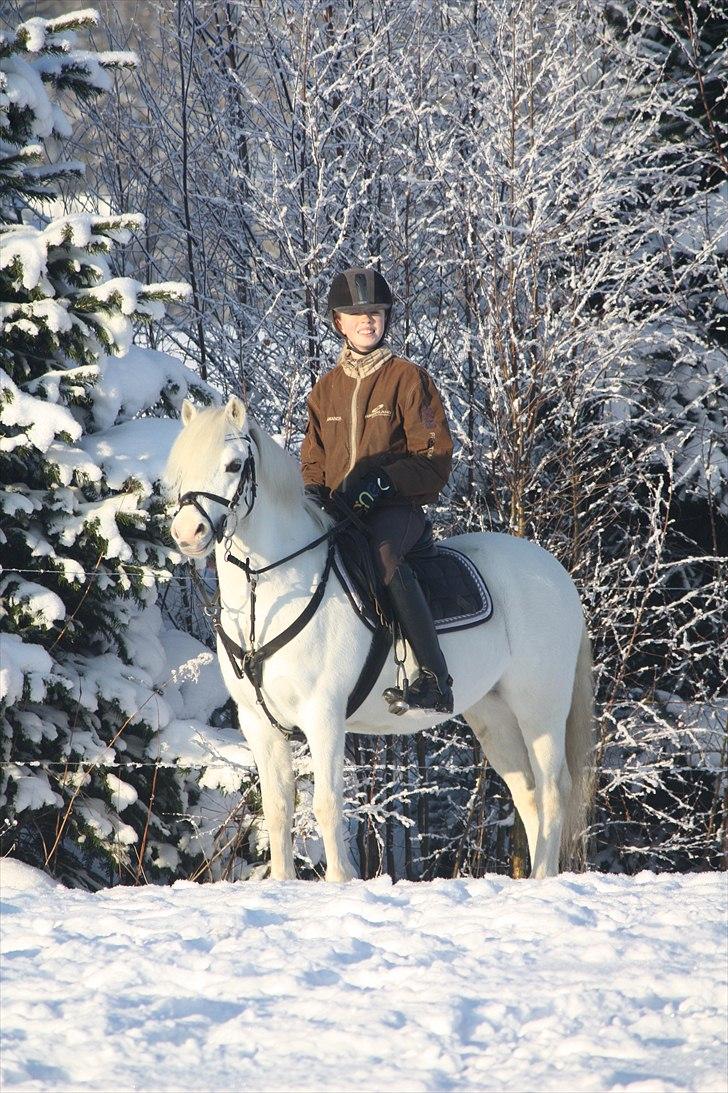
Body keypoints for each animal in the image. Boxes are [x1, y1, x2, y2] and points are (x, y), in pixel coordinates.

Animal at [167, 397, 594, 883]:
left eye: (234, 464)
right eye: (181, 469)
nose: (187, 534)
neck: (272, 591)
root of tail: (557, 574)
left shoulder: (323, 715)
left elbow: (326, 804)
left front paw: (339, 882)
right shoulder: (258, 723)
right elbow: (277, 808)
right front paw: (282, 882)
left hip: (540, 708)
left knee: (554, 789)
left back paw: (544, 876)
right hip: (494, 714)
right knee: (528, 792)